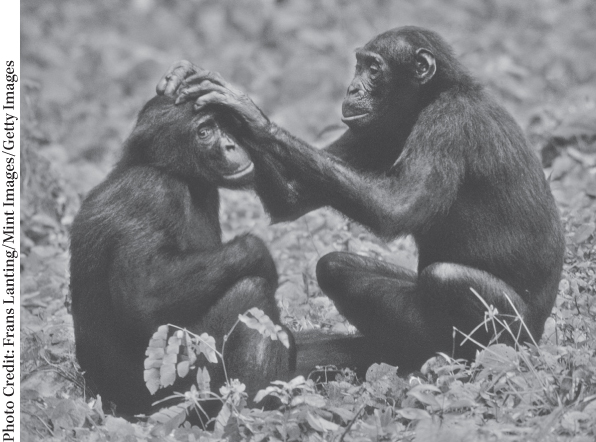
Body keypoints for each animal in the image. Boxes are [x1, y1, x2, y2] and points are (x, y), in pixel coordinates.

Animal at [70, 95, 296, 420]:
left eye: (224, 124)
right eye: (204, 132)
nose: (229, 144)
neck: (179, 175)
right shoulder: (151, 194)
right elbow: (143, 296)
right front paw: (259, 253)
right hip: (176, 393)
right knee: (250, 292)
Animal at [157, 25, 564, 372]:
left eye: (373, 68)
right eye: (359, 64)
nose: (352, 88)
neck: (428, 97)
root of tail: (541, 336)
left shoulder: (447, 123)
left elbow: (397, 208)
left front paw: (246, 111)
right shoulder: (374, 131)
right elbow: (294, 196)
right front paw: (197, 82)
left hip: (518, 334)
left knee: (446, 279)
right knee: (337, 267)